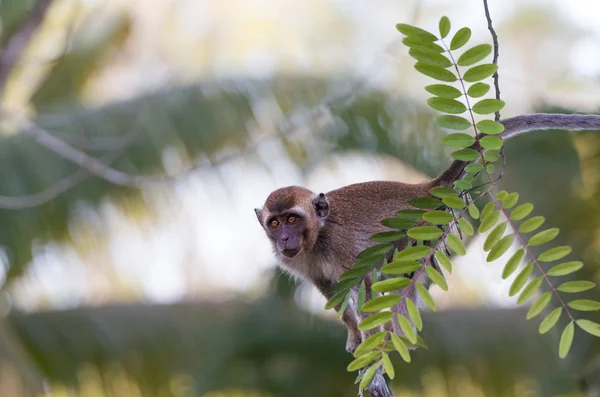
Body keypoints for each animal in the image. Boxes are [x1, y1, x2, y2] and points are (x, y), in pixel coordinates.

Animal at [253, 112, 600, 396]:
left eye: (293, 219)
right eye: (275, 222)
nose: (284, 238)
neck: (316, 237)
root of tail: (422, 189)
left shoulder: (340, 245)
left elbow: (365, 281)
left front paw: (368, 335)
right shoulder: (302, 263)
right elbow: (331, 290)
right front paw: (353, 331)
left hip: (424, 230)